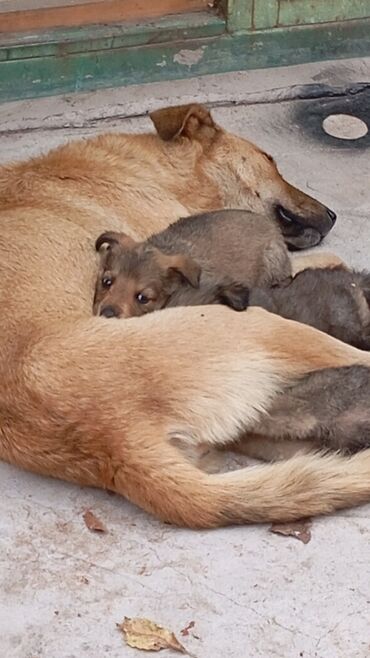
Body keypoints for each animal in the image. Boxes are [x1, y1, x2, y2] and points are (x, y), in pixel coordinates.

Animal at [0, 104, 370, 528]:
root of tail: (116, 444)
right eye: (269, 160)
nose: (333, 215)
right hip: (259, 325)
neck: (166, 171)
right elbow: (321, 258)